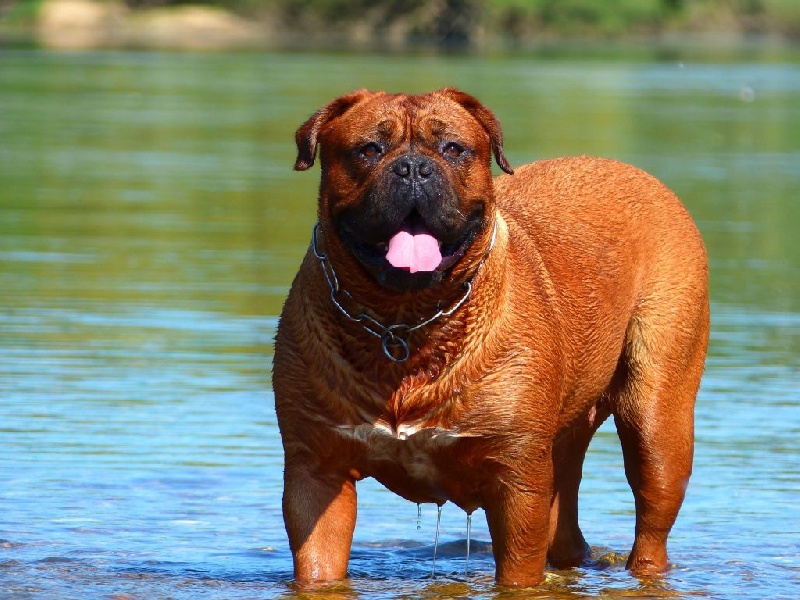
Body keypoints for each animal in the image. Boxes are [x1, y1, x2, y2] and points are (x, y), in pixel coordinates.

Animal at [272, 88, 708, 584]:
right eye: (368, 149)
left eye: (453, 149)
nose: (414, 168)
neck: (404, 321)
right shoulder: (316, 472)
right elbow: (317, 567)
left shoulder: (517, 481)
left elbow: (519, 568)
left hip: (656, 421)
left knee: (652, 524)